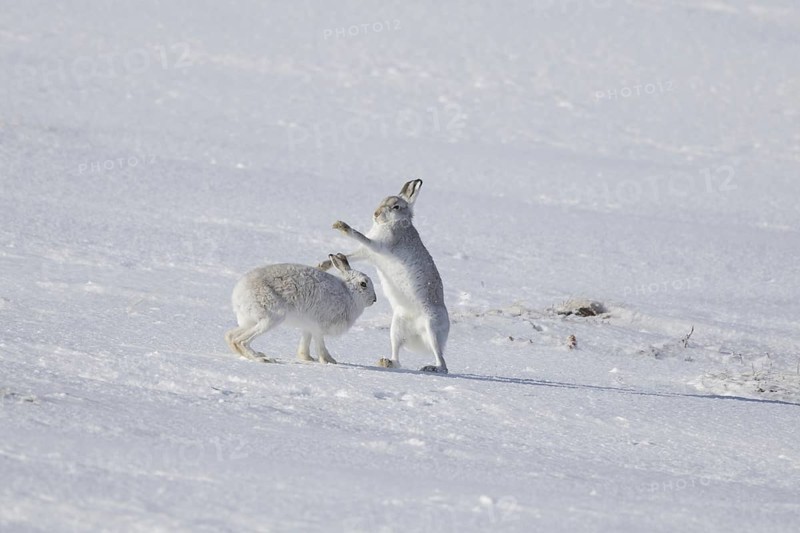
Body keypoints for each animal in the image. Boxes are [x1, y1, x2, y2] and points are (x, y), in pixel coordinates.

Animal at [225, 253, 376, 364]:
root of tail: (238, 294)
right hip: (272, 317)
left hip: (250, 321)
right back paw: (262, 358)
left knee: (230, 336)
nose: (374, 299)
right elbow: (320, 344)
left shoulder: (308, 326)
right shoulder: (319, 326)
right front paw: (329, 361)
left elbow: (306, 342)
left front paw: (307, 358)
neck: (348, 292)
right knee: (241, 341)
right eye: (363, 284)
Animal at [319, 179, 450, 374]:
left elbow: (361, 237)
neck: (392, 223)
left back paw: (431, 368)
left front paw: (343, 227)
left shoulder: (379, 245)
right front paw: (323, 264)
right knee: (397, 355)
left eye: (396, 207)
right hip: (396, 327)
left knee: (442, 362)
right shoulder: (367, 253)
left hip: (432, 326)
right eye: (382, 200)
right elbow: (351, 255)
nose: (375, 214)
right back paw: (386, 362)